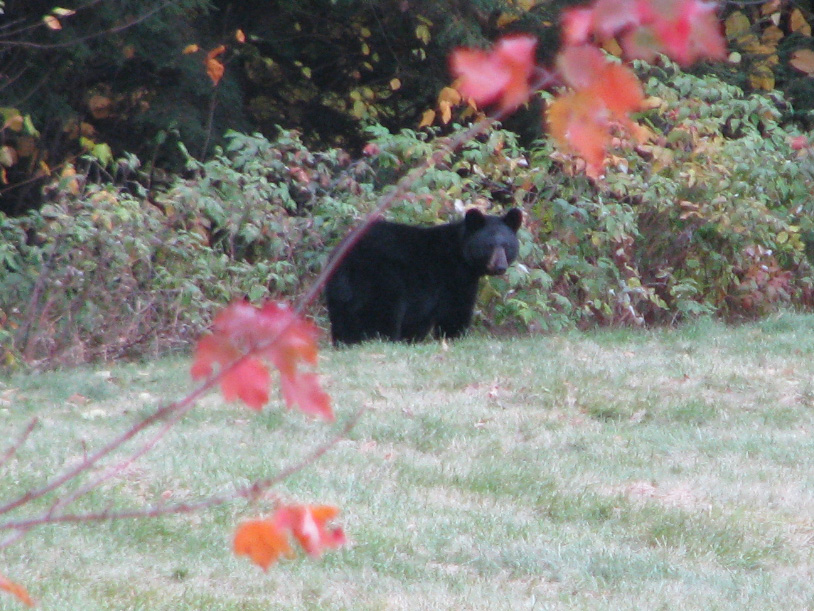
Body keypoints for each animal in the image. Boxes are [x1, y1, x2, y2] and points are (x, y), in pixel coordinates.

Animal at [326, 209, 524, 344]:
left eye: (506, 245)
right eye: (489, 245)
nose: (500, 267)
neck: (460, 254)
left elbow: (419, 320)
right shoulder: (454, 277)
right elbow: (455, 310)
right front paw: (454, 336)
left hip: (338, 290)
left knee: (343, 318)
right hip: (381, 279)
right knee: (383, 312)